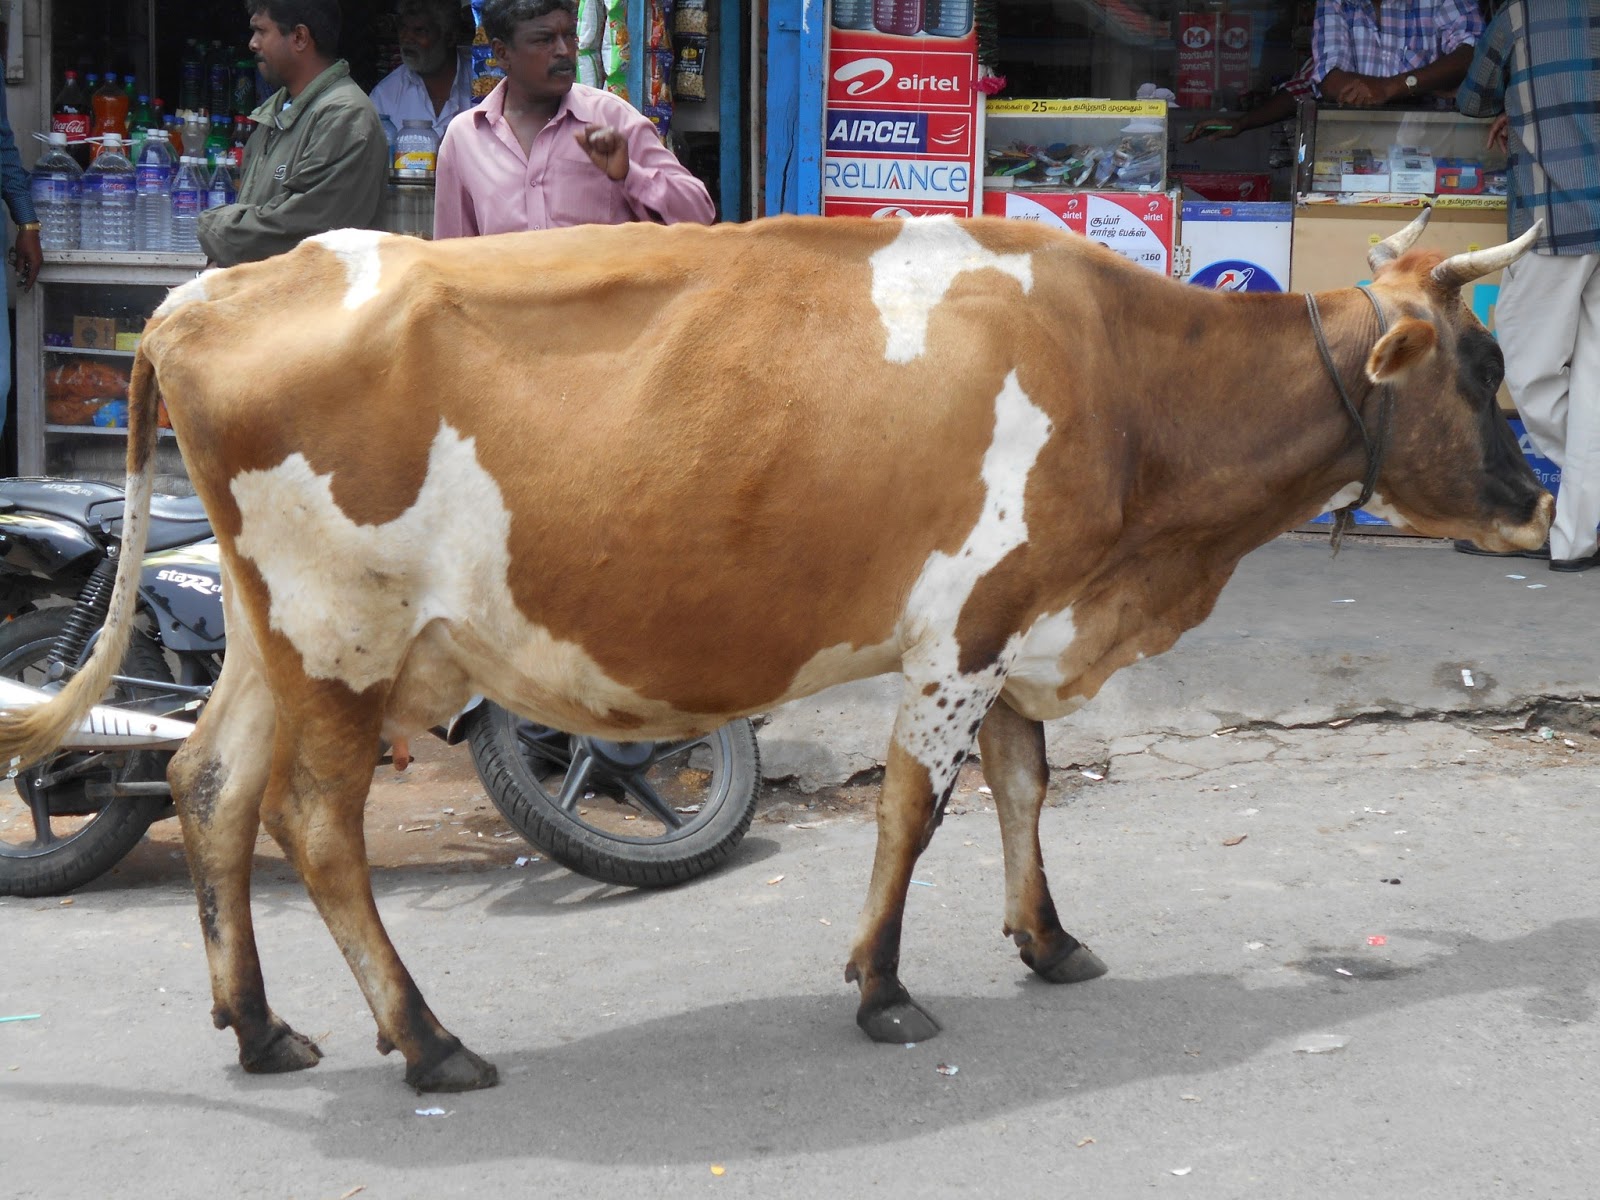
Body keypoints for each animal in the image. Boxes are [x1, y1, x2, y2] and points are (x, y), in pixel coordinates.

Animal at [0, 208, 1549, 1092]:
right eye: (1482, 370)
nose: (1541, 504)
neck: (1129, 383)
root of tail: (208, 296)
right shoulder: (963, 626)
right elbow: (917, 812)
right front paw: (883, 990)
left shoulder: (1018, 609)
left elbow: (1026, 786)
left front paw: (1050, 942)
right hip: (349, 632)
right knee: (316, 825)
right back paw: (429, 1044)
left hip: (274, 631)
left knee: (206, 788)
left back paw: (261, 1030)